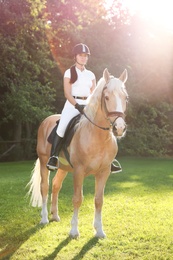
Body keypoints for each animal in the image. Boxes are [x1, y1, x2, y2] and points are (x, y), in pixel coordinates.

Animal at [28, 68, 128, 239]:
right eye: (107, 97)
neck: (97, 136)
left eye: (125, 97)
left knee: (56, 185)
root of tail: (46, 121)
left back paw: (55, 215)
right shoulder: (79, 171)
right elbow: (77, 199)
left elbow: (99, 200)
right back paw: (45, 218)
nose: (119, 128)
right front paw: (74, 231)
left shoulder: (103, 172)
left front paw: (99, 231)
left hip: (63, 167)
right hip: (43, 162)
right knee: (45, 187)